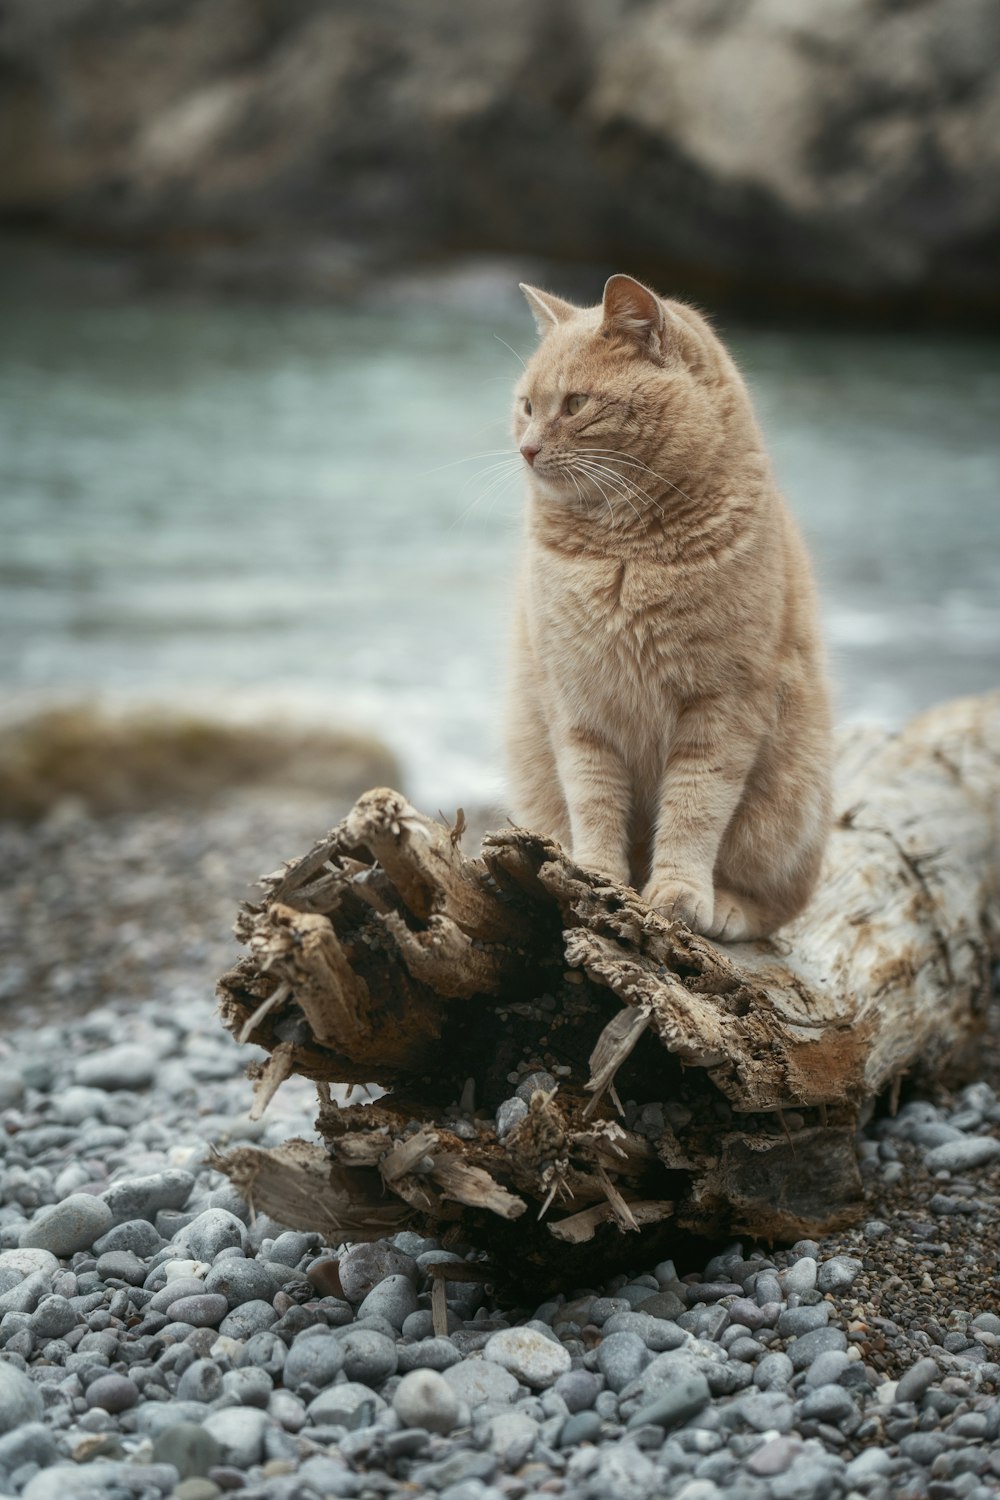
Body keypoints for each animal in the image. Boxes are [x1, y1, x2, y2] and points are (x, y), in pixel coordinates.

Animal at [503, 273, 833, 936]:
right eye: (526, 405)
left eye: (574, 405)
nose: (526, 448)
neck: (624, 554)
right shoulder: (577, 705)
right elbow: (593, 798)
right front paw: (597, 875)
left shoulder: (724, 708)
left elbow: (694, 810)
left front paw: (679, 894)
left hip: (789, 803)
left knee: (781, 902)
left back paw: (730, 907)